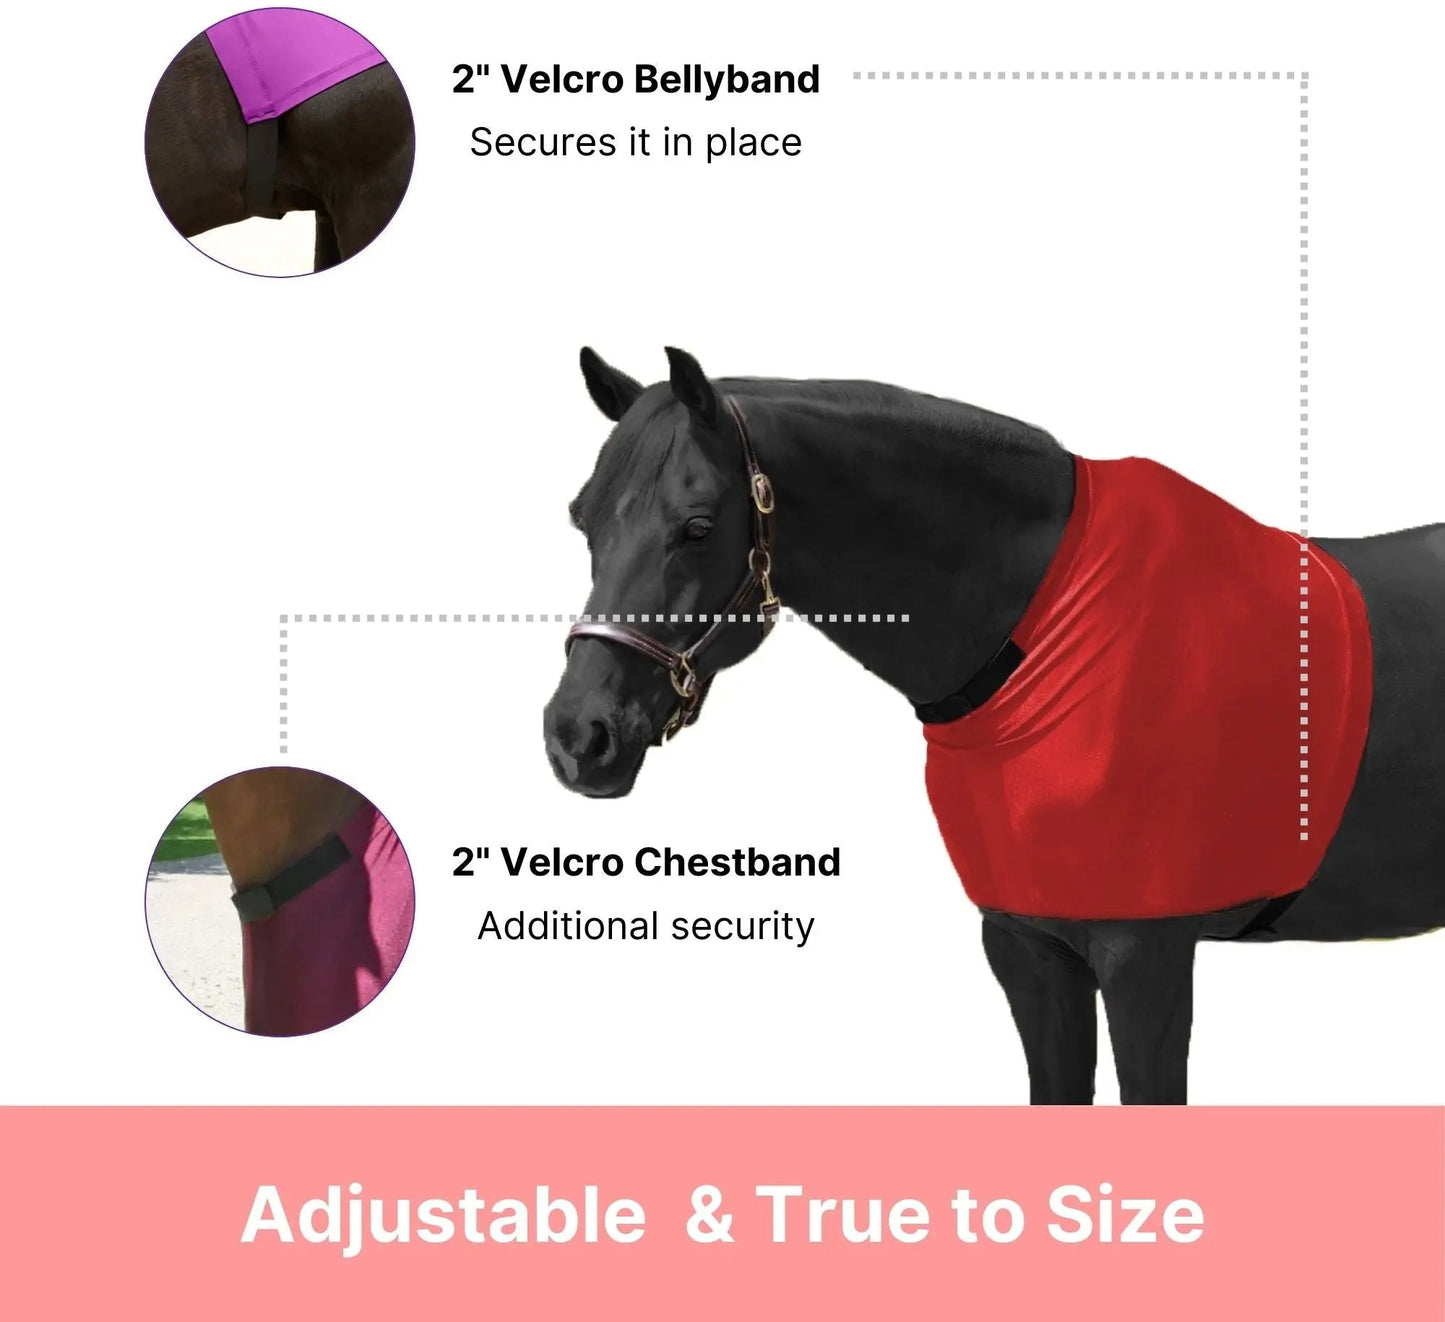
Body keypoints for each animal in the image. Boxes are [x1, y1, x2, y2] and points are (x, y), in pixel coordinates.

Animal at [543, 346, 1445, 1105]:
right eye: (583, 518)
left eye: (696, 526)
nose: (577, 737)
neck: (1043, 632)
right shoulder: (1026, 947)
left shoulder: (1144, 955)